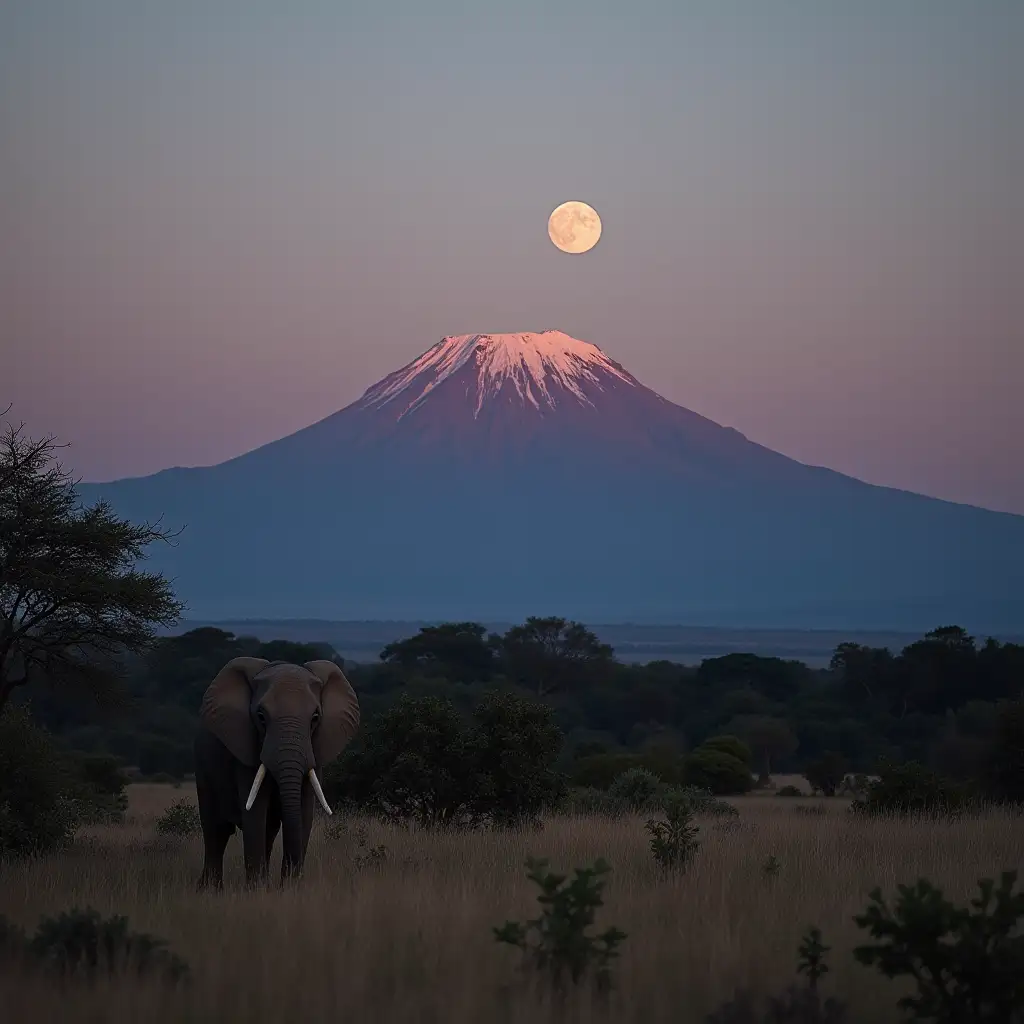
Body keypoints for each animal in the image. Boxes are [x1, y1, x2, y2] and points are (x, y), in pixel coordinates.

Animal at [192, 655, 360, 888]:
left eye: (315, 718)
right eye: (261, 716)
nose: (290, 880)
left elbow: (304, 810)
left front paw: (289, 888)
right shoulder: (246, 750)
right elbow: (255, 811)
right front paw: (257, 890)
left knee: (268, 831)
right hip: (203, 767)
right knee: (216, 830)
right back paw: (209, 889)